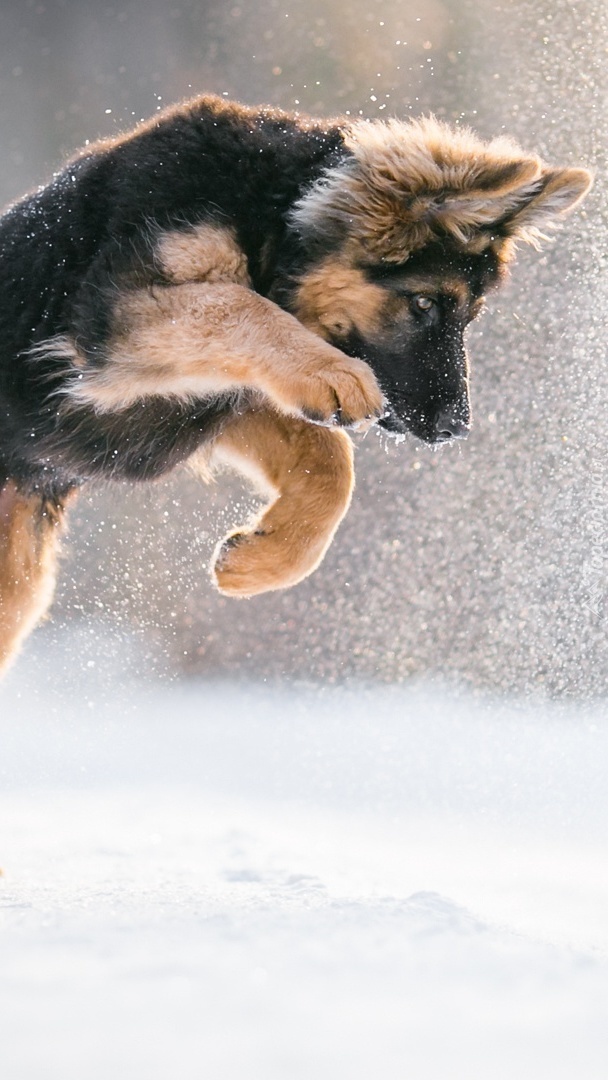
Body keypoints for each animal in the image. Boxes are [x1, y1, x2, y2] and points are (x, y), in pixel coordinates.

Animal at [0, 95, 591, 665]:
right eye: (424, 304)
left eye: (469, 317)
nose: (456, 428)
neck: (275, 212)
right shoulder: (114, 320)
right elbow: (235, 304)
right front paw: (335, 371)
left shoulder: (220, 398)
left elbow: (331, 462)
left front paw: (263, 558)